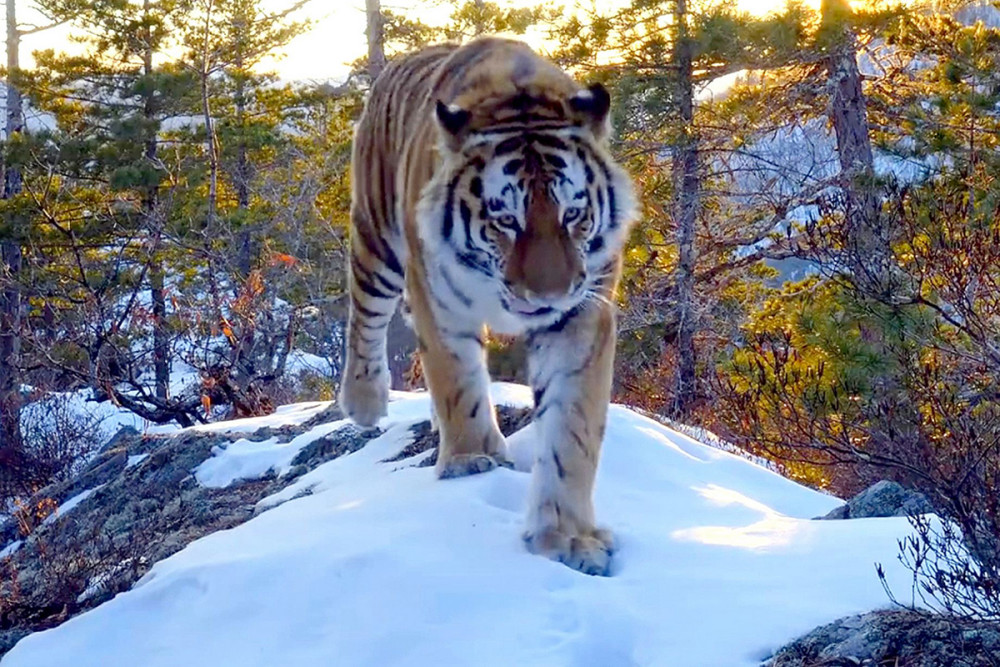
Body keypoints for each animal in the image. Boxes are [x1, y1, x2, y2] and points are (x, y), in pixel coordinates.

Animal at [340, 37, 636, 580]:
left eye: (573, 214)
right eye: (505, 220)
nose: (548, 297)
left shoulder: (583, 314)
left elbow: (571, 429)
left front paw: (568, 537)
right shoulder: (437, 298)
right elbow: (458, 383)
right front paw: (472, 460)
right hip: (377, 240)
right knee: (365, 318)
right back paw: (365, 402)